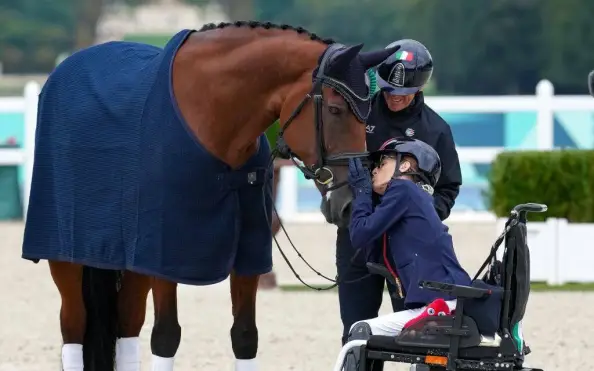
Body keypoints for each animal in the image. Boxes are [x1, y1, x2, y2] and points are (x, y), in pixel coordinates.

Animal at [20, 21, 396, 371]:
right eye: (335, 110)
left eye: (366, 115)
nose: (350, 204)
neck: (215, 122)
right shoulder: (165, 257)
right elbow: (166, 336)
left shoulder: (246, 256)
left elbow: (245, 335)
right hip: (67, 258)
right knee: (74, 325)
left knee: (127, 324)